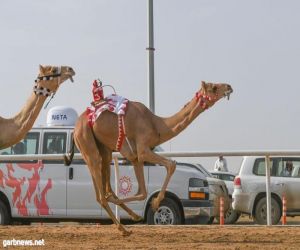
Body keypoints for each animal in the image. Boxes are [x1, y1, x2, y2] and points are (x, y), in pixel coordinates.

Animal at [64, 80, 233, 234]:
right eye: (214, 87)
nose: (229, 86)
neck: (157, 124)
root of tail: (76, 127)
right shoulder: (143, 150)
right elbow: (171, 165)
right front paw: (156, 203)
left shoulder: (136, 158)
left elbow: (143, 192)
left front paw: (146, 208)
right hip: (86, 141)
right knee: (101, 195)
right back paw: (122, 228)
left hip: (102, 149)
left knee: (104, 187)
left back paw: (131, 219)